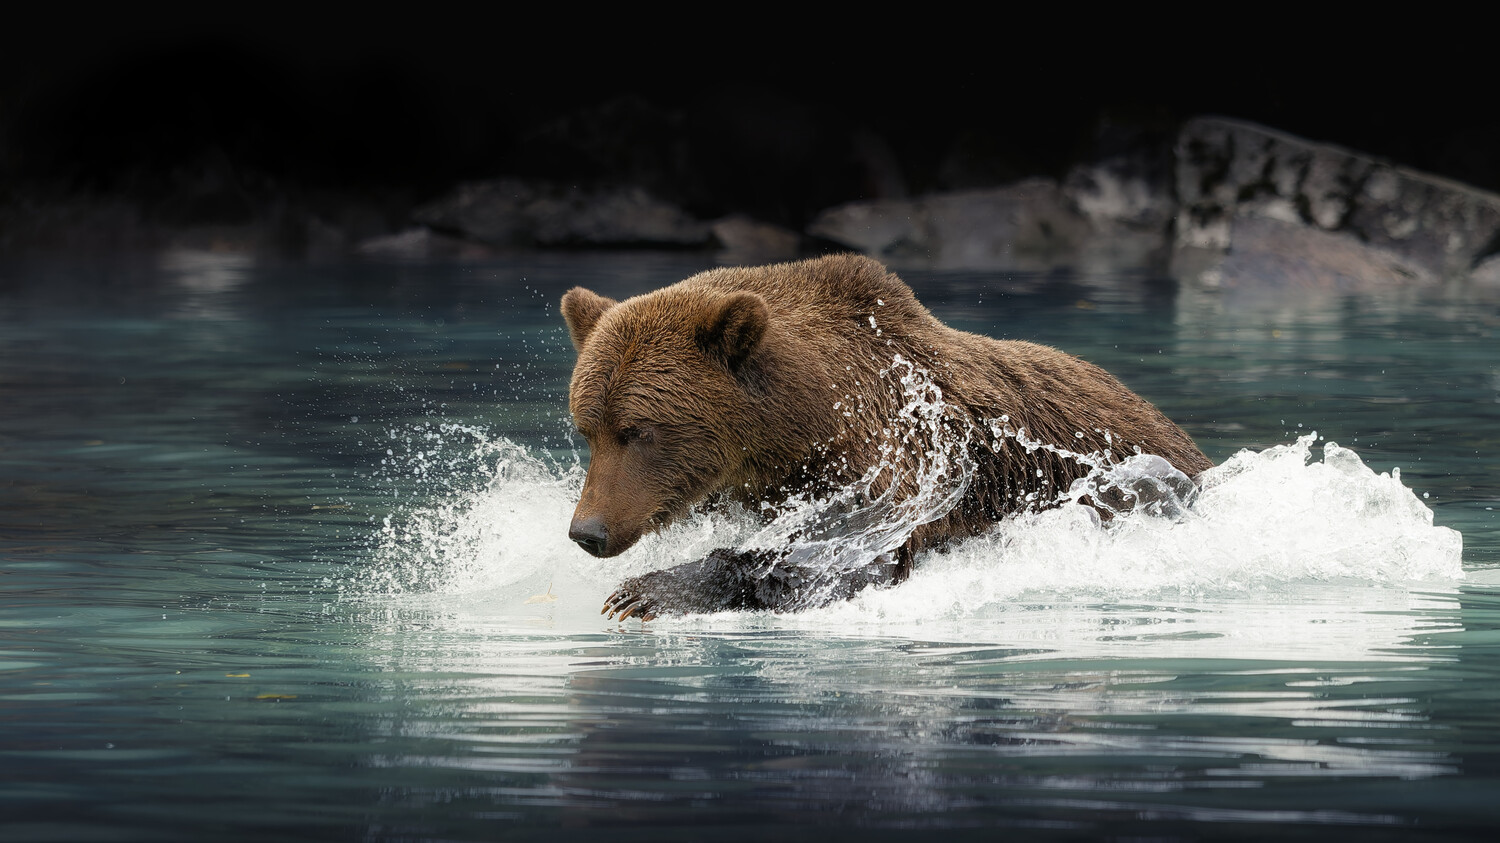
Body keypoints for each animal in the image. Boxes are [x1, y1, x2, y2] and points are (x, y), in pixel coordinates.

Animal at [559, 254, 1211, 620]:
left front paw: (648, 592)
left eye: (637, 431)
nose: (587, 531)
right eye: (587, 428)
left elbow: (855, 552)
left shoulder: (897, 456)